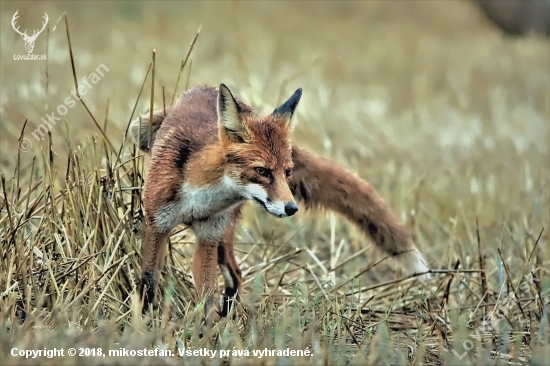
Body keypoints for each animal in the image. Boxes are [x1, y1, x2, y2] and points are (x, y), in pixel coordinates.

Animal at [130, 84, 432, 318]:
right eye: (262, 171)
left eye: (287, 172)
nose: (291, 208)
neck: (200, 199)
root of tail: (209, 88)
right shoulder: (157, 224)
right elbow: (148, 282)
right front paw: (144, 324)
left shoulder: (208, 236)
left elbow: (206, 297)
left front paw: (205, 335)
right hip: (137, 130)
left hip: (222, 241)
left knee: (235, 277)